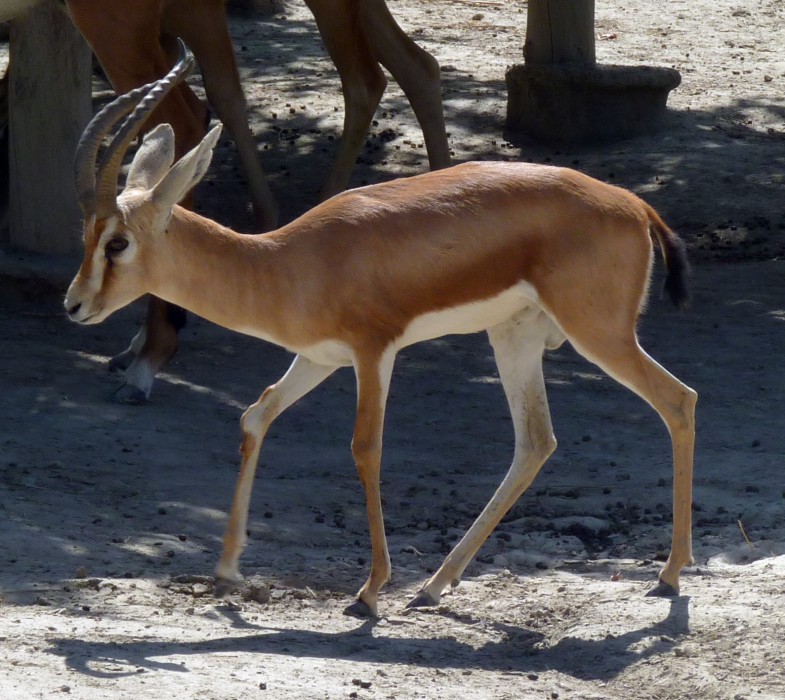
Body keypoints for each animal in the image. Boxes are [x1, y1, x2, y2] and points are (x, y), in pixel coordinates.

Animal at [65, 49, 696, 618]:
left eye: (117, 242)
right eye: (87, 232)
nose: (74, 305)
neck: (289, 261)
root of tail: (634, 204)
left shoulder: (373, 353)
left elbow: (365, 448)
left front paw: (368, 592)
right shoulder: (318, 358)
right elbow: (256, 414)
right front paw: (227, 571)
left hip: (598, 333)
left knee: (679, 400)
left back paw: (669, 575)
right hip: (512, 337)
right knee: (537, 441)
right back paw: (434, 586)